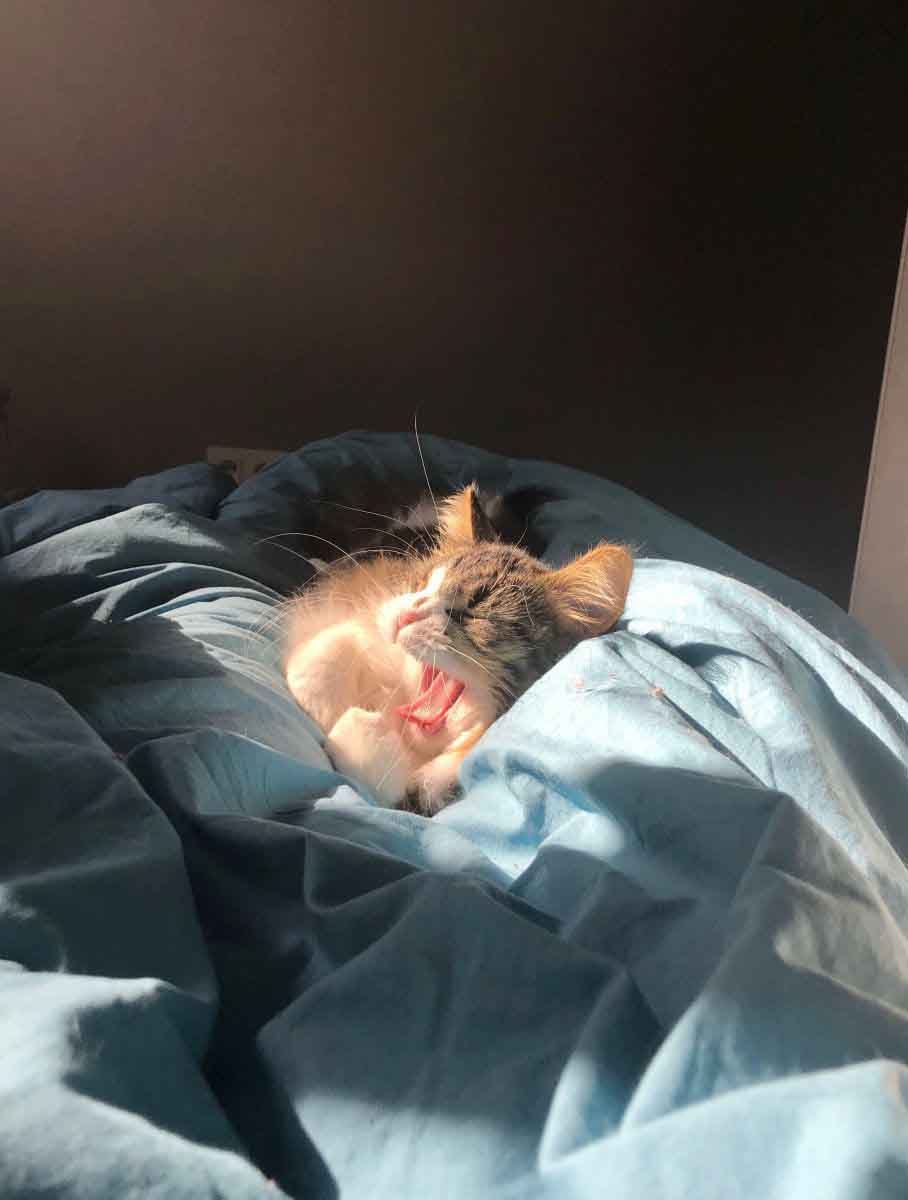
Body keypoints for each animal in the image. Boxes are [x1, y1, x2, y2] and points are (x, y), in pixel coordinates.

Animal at [284, 484, 633, 814]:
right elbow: (330, 647)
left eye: (474, 612)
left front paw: (356, 723)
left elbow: (379, 773)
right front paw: (322, 702)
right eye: (422, 584)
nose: (404, 616)